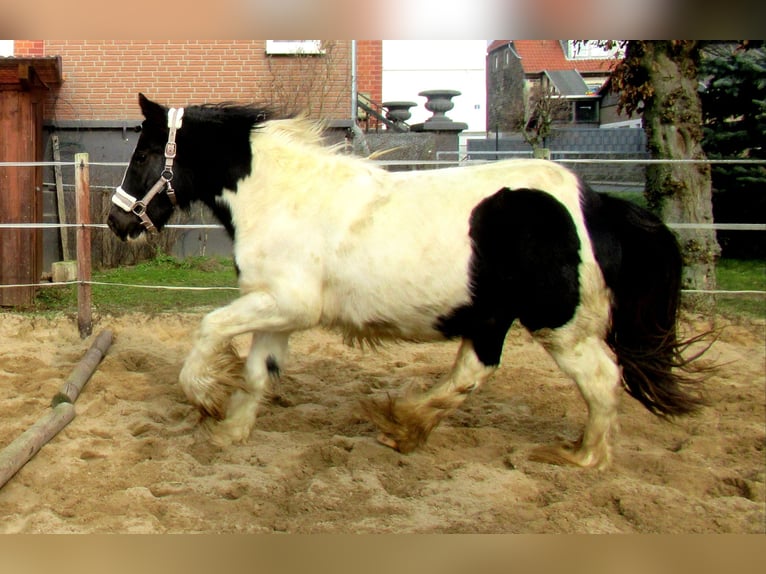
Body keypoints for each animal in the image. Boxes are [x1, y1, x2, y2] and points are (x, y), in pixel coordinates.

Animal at [108, 94, 708, 470]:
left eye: (145, 152)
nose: (116, 221)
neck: (281, 197)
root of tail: (596, 206)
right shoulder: (278, 309)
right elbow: (259, 372)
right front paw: (231, 430)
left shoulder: (286, 303)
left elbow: (209, 328)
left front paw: (206, 398)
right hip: (492, 318)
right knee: (472, 373)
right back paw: (403, 424)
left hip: (560, 327)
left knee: (602, 381)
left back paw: (582, 457)